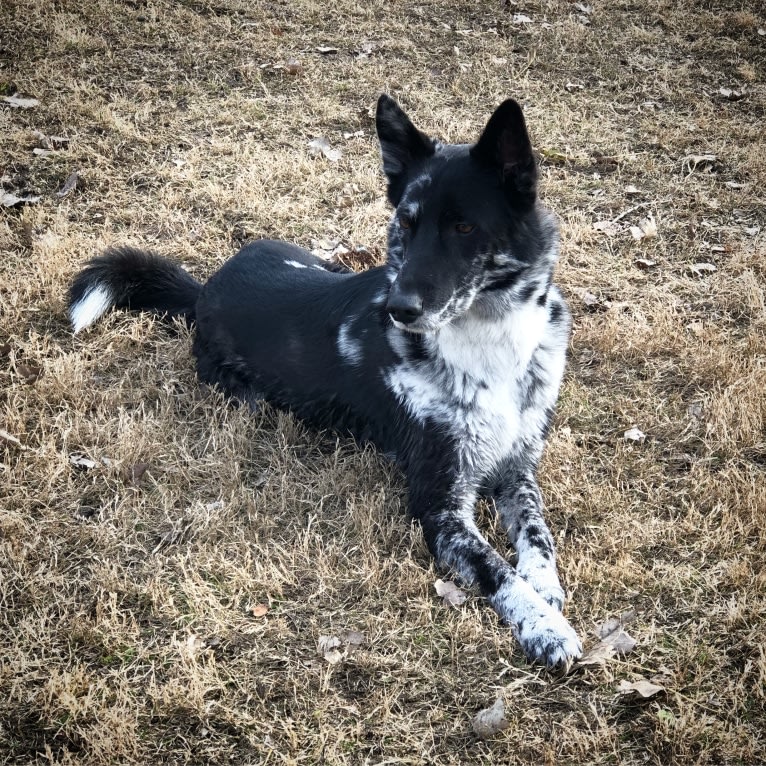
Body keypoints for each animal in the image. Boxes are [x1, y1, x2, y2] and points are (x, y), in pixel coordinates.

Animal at [70, 94, 584, 672]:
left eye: (465, 228)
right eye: (406, 223)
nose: (399, 310)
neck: (489, 338)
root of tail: (204, 289)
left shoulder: (517, 466)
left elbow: (538, 535)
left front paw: (546, 588)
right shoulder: (439, 503)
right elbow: (498, 570)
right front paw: (544, 626)